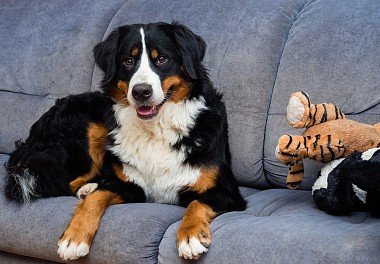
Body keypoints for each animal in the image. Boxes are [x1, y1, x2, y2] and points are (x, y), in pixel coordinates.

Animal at [4, 22, 246, 260]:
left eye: (161, 59)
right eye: (128, 61)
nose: (141, 91)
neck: (154, 130)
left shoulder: (227, 192)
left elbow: (197, 203)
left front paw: (191, 236)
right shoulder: (132, 186)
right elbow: (96, 198)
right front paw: (74, 237)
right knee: (61, 184)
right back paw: (87, 188)